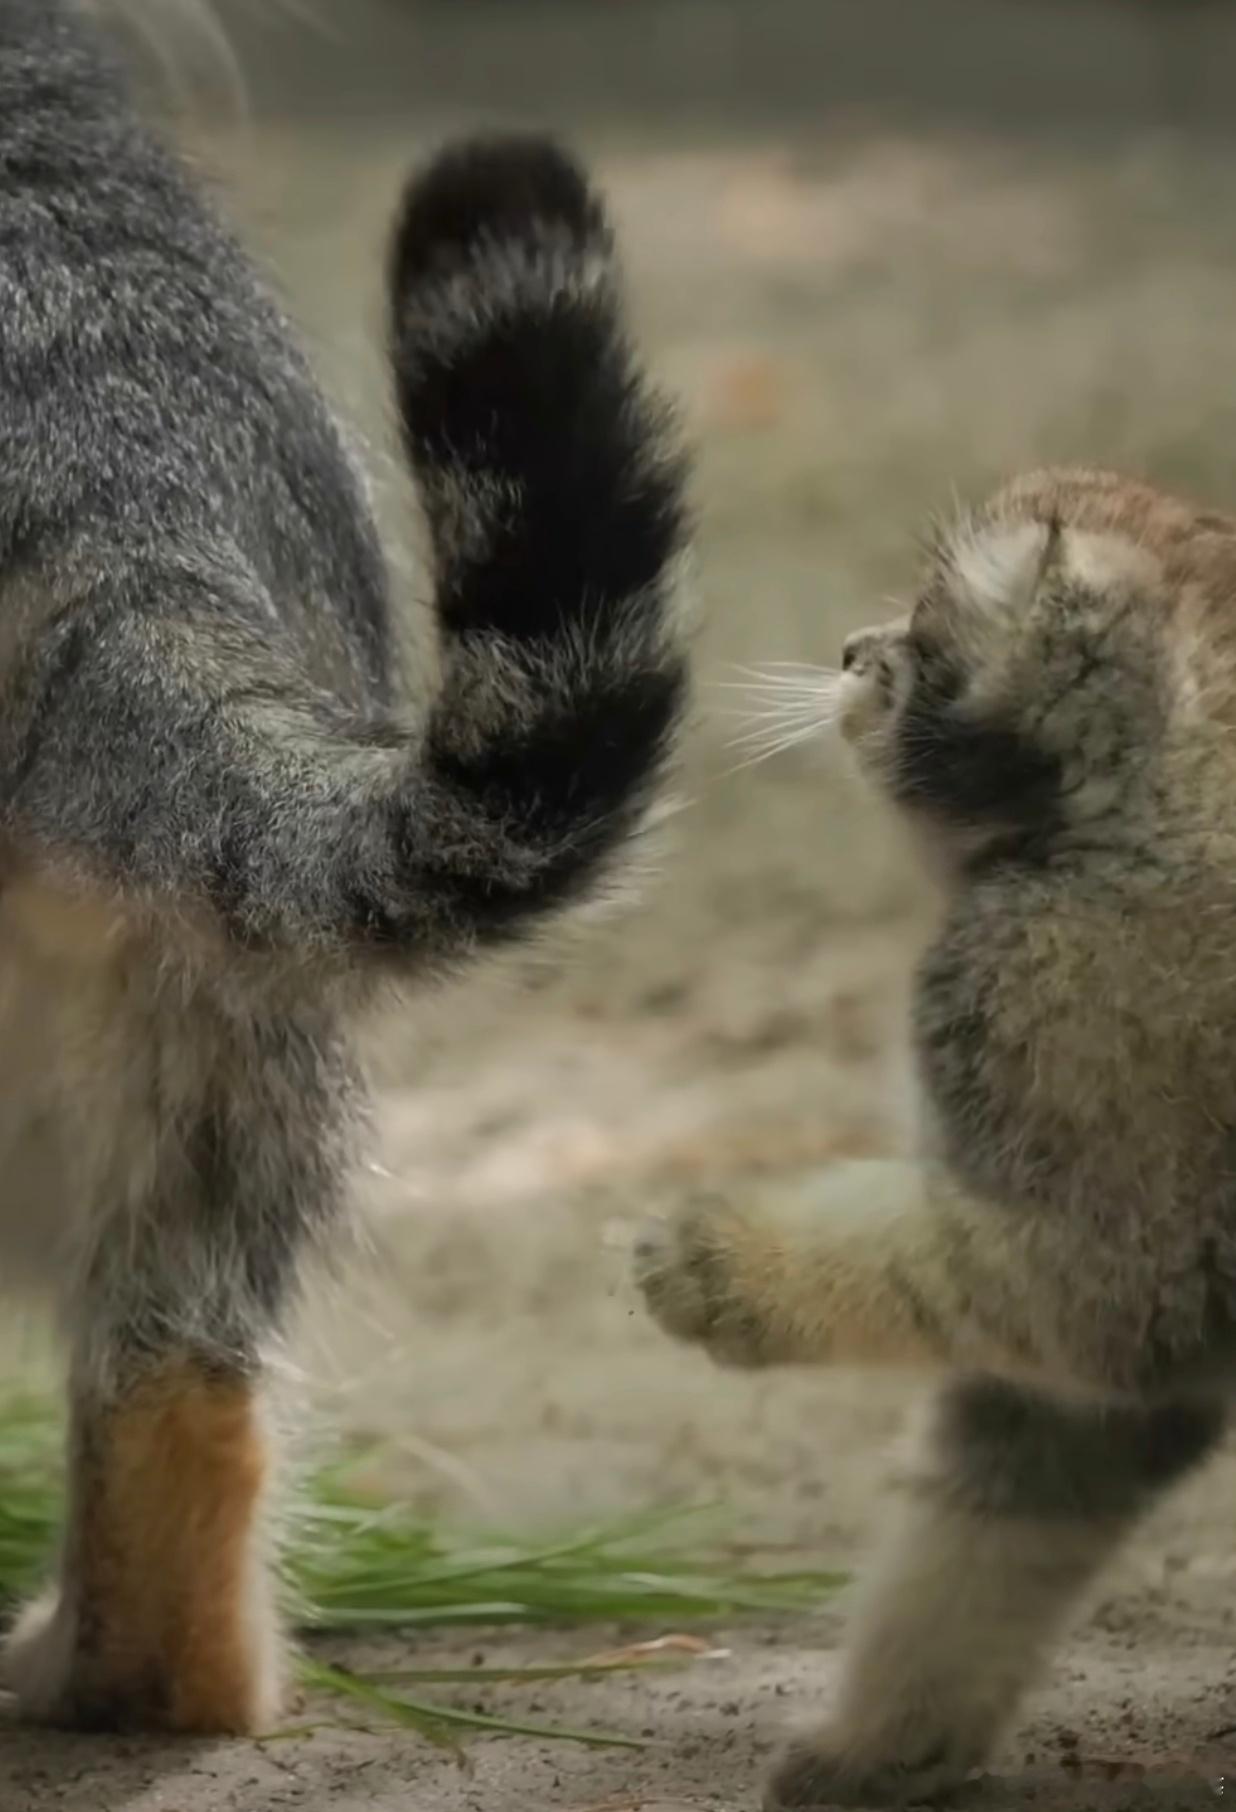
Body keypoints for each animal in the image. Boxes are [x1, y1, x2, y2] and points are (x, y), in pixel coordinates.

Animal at [634, 471, 1232, 1812]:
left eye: (919, 633)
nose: (853, 651)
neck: (1154, 814)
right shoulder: (1089, 1395)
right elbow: (983, 1539)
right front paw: (889, 1743)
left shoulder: (1123, 1264)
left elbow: (953, 1272)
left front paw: (728, 1263)